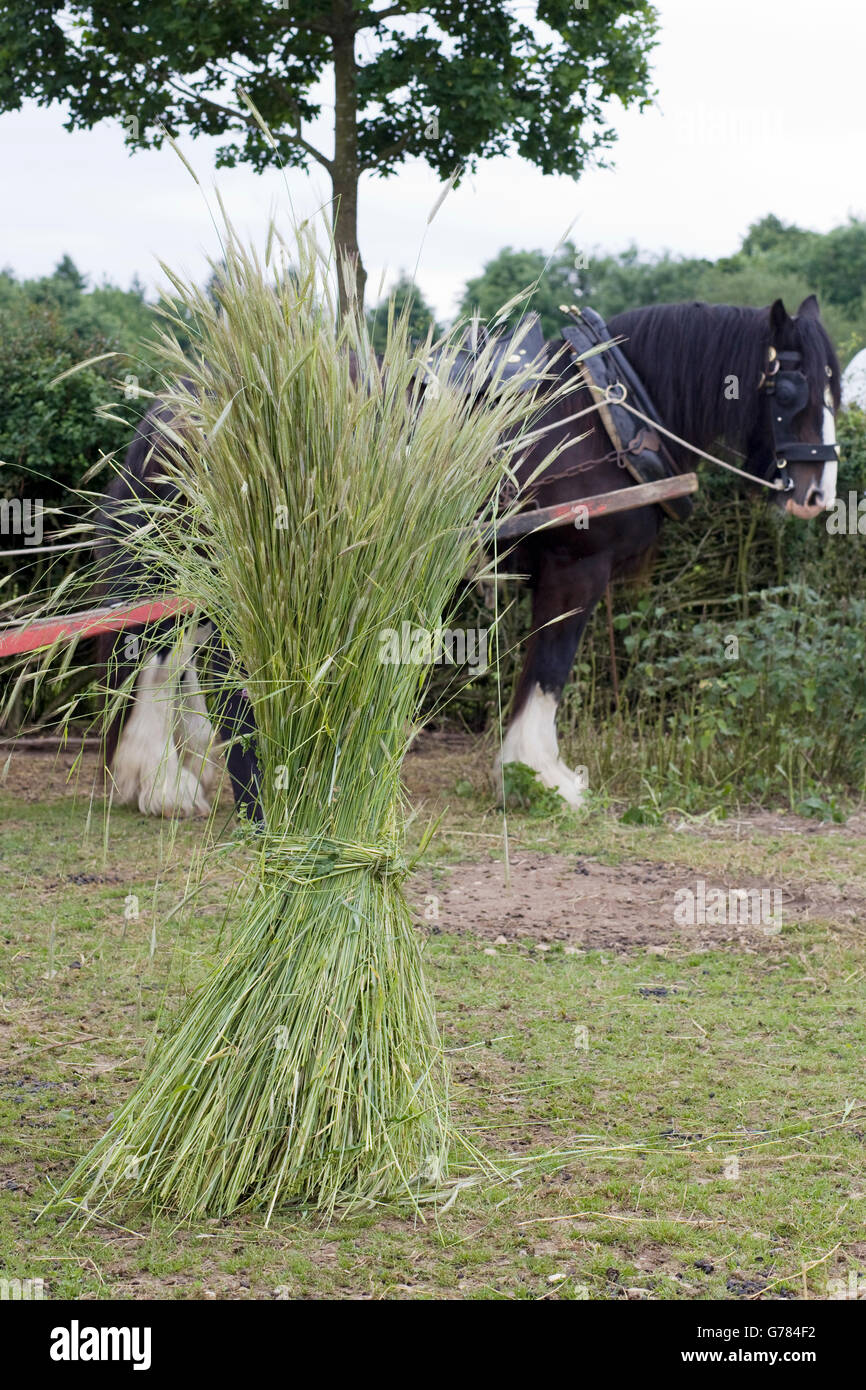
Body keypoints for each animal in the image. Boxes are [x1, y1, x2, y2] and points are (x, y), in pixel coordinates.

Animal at [96, 293, 840, 817]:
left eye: (838, 388)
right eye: (791, 390)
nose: (818, 495)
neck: (605, 413)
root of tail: (172, 405)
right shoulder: (576, 569)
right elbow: (549, 669)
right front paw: (537, 775)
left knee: (182, 647)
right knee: (161, 650)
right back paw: (159, 780)